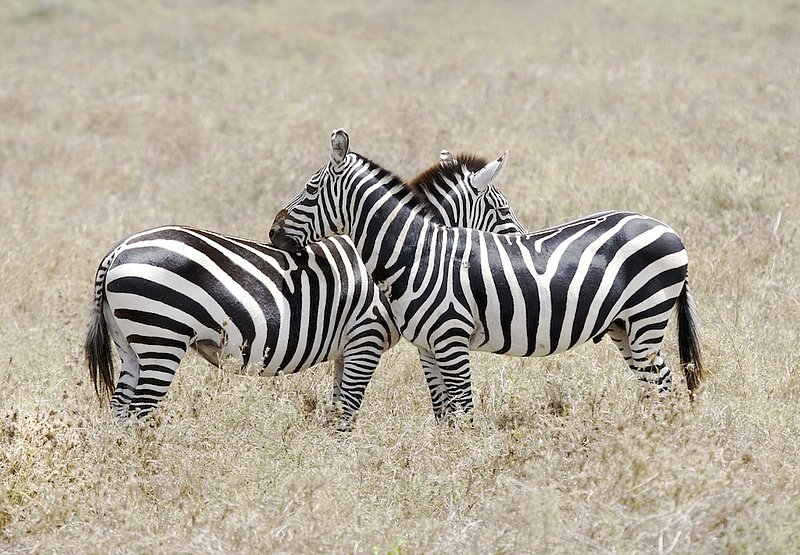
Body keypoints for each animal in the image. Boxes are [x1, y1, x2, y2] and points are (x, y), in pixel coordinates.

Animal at [85, 150, 524, 428]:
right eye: (504, 210)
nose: (521, 245)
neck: (403, 252)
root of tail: (117, 250)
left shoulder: (346, 350)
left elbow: (338, 408)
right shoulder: (365, 337)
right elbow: (346, 414)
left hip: (132, 346)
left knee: (118, 416)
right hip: (161, 337)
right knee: (136, 416)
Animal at [269, 129, 704, 419]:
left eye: (310, 189)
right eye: (504, 210)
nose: (273, 234)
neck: (417, 252)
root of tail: (667, 227)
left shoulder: (450, 340)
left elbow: (464, 413)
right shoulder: (426, 348)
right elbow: (443, 414)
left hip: (646, 318)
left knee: (663, 382)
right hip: (623, 327)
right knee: (652, 385)